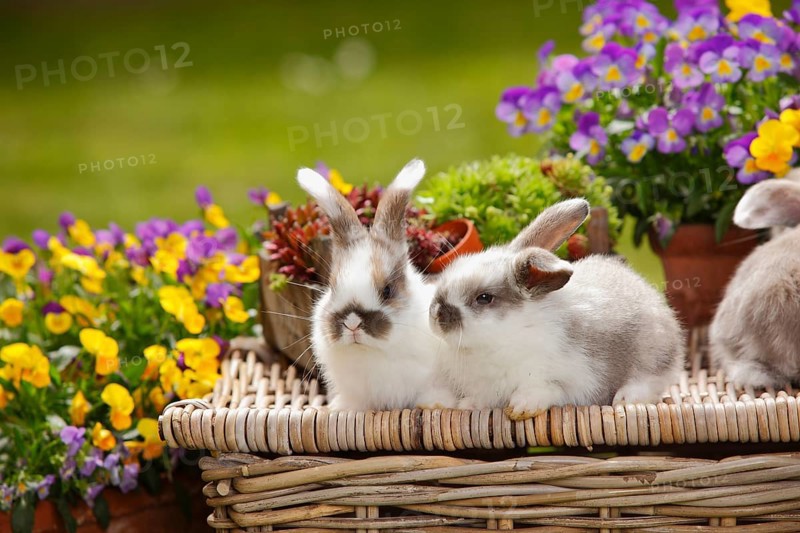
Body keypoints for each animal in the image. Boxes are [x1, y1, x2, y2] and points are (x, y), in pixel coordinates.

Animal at [296, 159, 457, 411]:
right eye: (332, 287)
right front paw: (341, 408)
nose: (352, 323)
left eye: (387, 290)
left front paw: (436, 404)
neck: (374, 352)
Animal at [428, 198, 685, 420]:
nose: (437, 315)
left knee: (652, 380)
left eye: (484, 298)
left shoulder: (570, 379)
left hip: (653, 353)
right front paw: (466, 405)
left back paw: (626, 399)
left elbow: (547, 389)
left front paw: (522, 407)